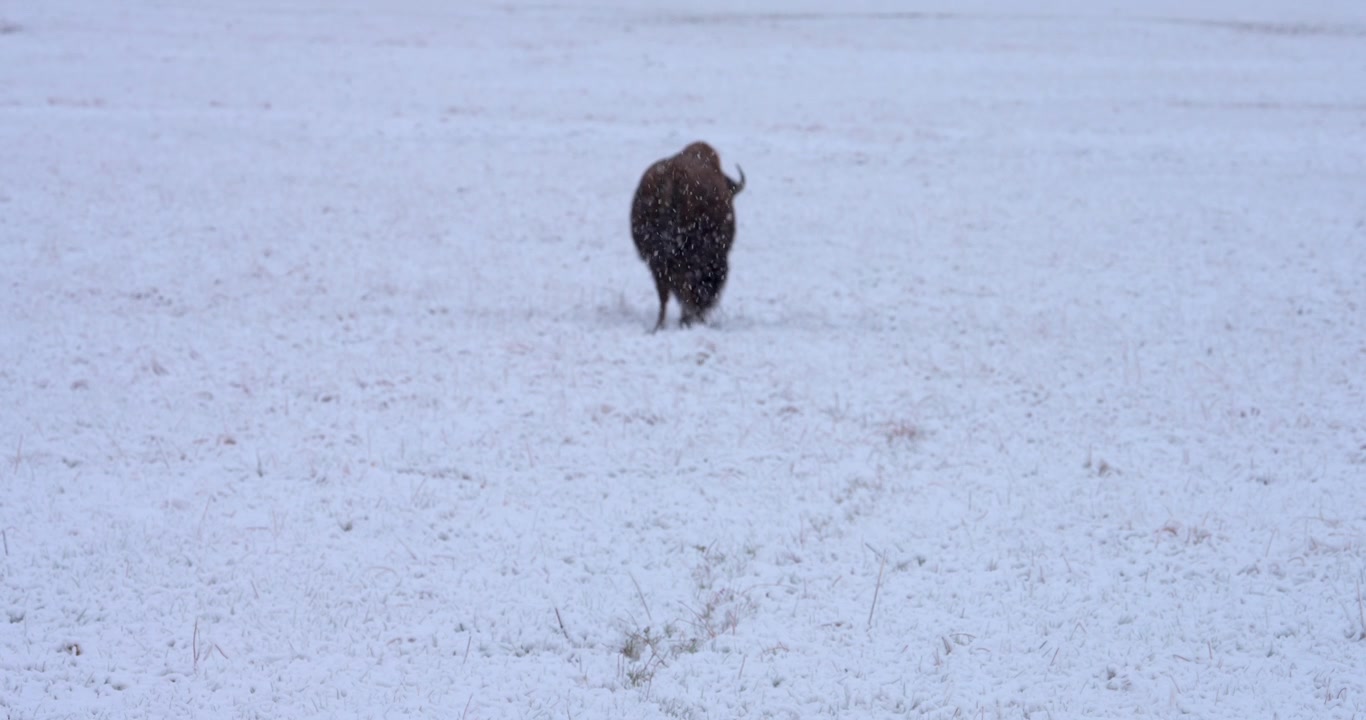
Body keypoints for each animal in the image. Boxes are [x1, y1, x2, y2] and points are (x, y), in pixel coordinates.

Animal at [630, 142, 746, 331]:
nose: (704, 313)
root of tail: (672, 174)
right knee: (682, 285)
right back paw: (683, 320)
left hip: (655, 257)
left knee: (664, 291)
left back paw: (660, 325)